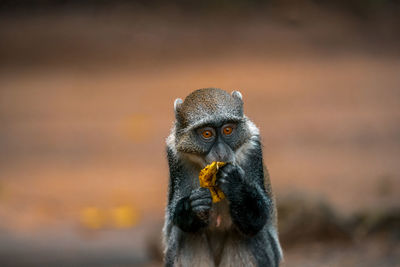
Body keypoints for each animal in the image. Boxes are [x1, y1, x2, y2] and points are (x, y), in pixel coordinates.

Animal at [162, 89, 282, 266]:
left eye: (228, 130)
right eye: (207, 133)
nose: (221, 152)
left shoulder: (253, 148)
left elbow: (257, 220)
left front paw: (235, 186)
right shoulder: (175, 155)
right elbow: (176, 216)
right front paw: (193, 206)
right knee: (185, 235)